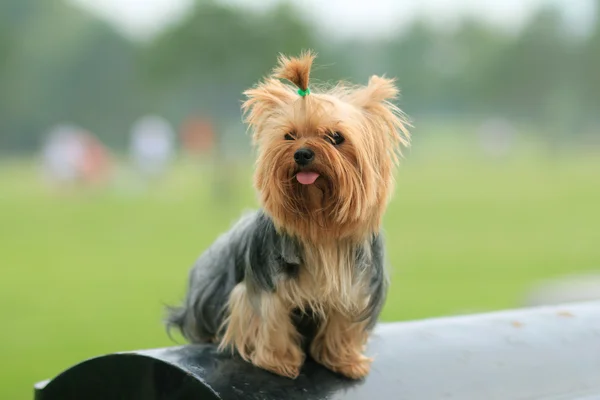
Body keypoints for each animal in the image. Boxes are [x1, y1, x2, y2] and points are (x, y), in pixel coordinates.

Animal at [168, 50, 412, 382]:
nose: (302, 153)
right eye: (289, 136)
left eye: (336, 137)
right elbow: (271, 318)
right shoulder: (264, 286)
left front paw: (345, 361)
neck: (320, 228)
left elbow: (342, 324)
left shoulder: (355, 289)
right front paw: (279, 362)